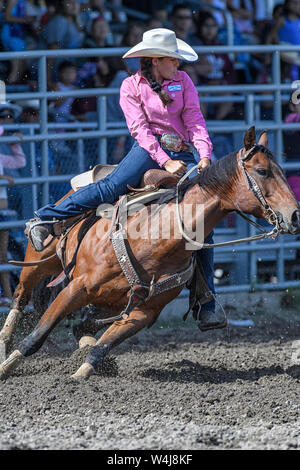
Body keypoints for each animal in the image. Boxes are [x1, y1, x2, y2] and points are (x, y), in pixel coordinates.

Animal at [0, 126, 300, 380]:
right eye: (262, 171)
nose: (294, 216)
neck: (156, 237)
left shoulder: (145, 312)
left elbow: (101, 348)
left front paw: (79, 374)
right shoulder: (76, 288)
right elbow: (37, 336)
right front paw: (6, 367)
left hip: (107, 303)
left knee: (82, 327)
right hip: (38, 263)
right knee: (20, 298)